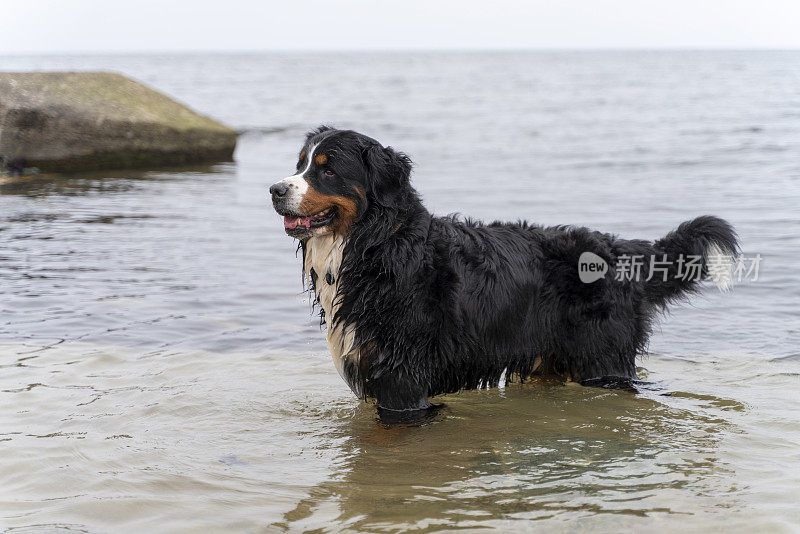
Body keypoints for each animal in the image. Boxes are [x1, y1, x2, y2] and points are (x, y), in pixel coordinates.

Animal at [270, 129, 736, 422]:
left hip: (602, 359)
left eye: (328, 169)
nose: (274, 189)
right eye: (301, 164)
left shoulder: (402, 378)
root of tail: (619, 249)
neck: (377, 244)